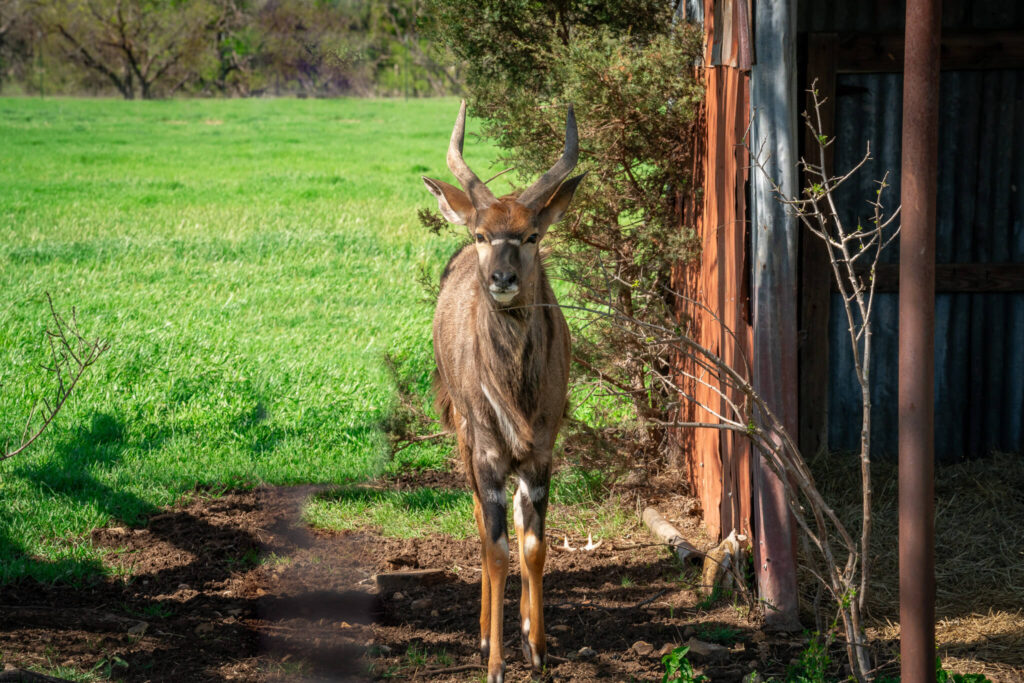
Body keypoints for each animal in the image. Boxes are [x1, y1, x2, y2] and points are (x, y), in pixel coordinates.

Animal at [423, 101, 582, 683]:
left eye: (531, 235)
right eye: (481, 234)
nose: (503, 279)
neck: (515, 392)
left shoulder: (540, 453)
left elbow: (533, 545)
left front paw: (537, 648)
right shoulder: (487, 452)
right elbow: (495, 550)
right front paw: (495, 663)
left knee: (515, 518)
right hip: (465, 439)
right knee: (479, 520)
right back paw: (484, 633)